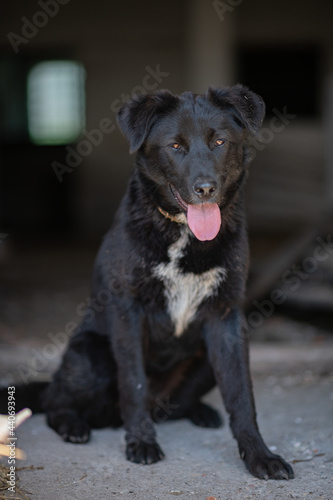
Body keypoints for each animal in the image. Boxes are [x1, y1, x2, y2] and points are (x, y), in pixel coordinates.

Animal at [15, 86, 292, 480]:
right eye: (175, 146)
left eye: (220, 141)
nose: (206, 189)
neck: (182, 232)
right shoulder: (128, 312)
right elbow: (134, 384)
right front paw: (141, 442)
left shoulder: (226, 318)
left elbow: (241, 394)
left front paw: (259, 455)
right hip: (91, 355)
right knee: (54, 400)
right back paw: (73, 425)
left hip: (203, 360)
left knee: (174, 406)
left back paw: (199, 412)